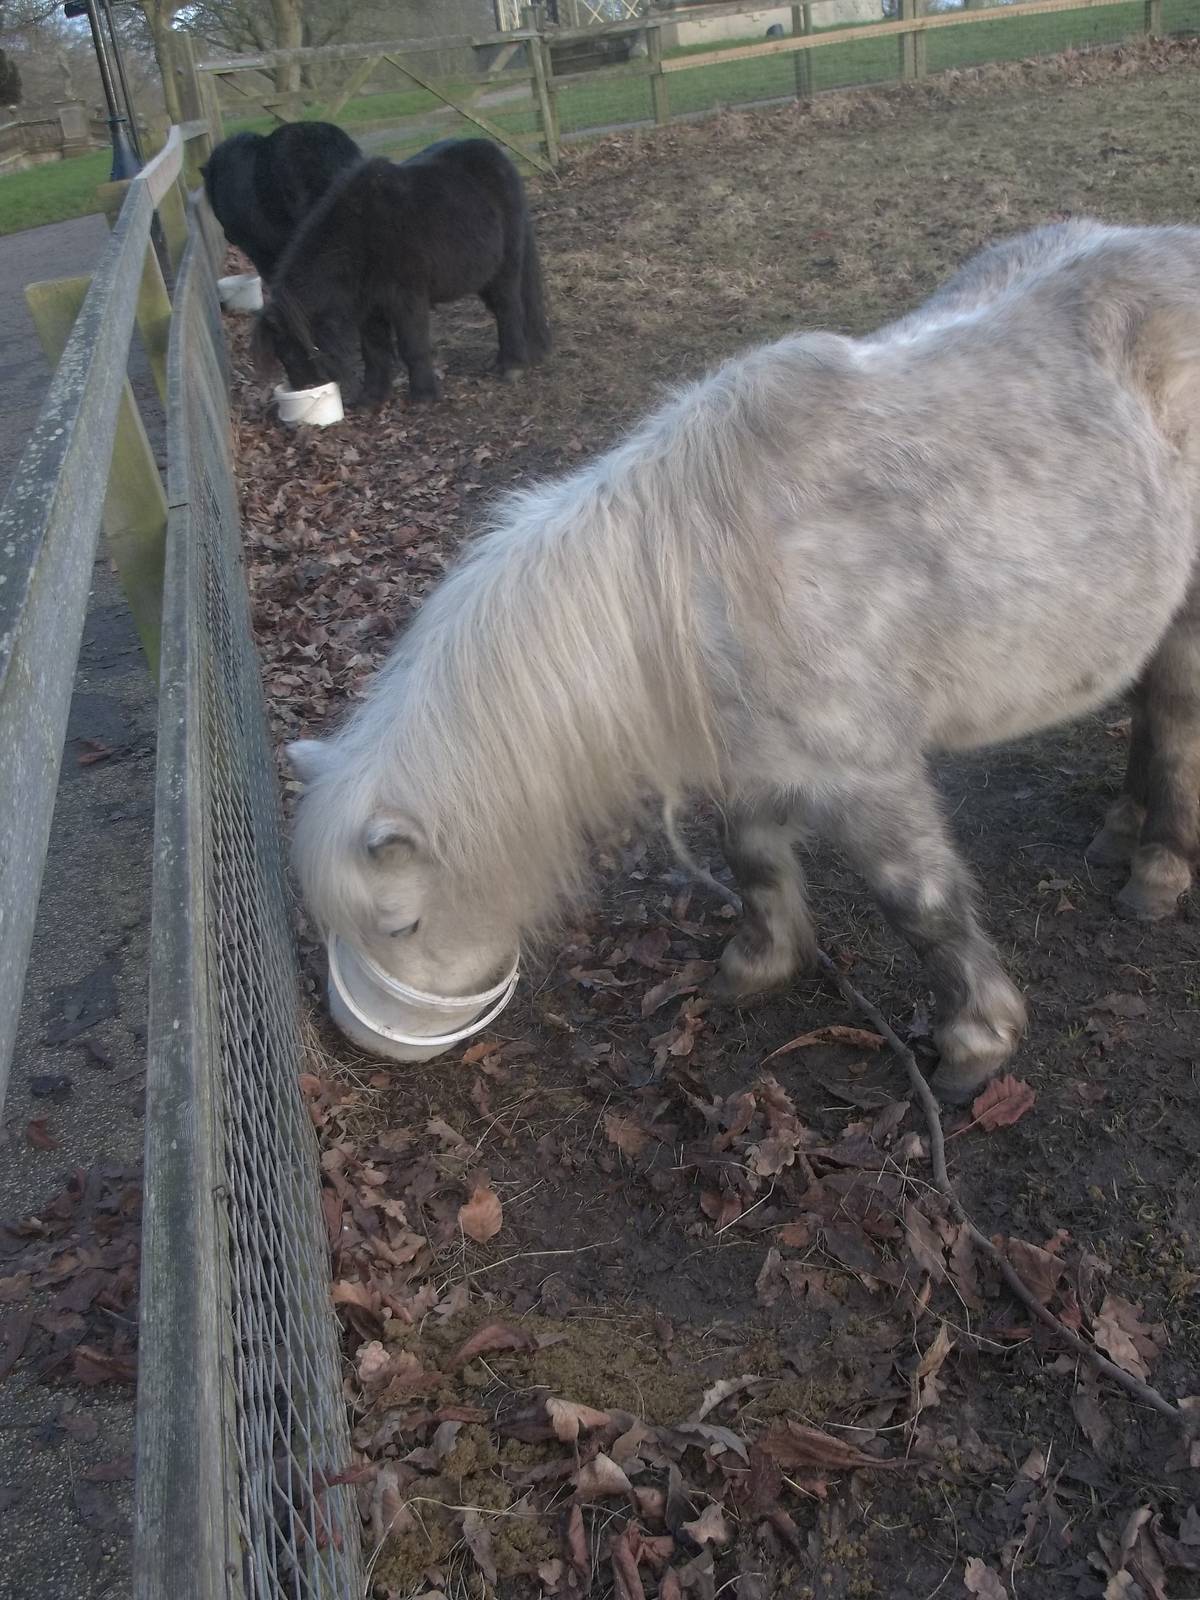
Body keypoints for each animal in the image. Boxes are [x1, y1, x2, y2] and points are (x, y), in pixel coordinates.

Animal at [251, 138, 551, 407]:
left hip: (505, 266)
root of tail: (497, 156)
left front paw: (423, 397)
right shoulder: (369, 309)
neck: (360, 236)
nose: (307, 388)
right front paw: (371, 399)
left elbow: (412, 346)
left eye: (290, 354)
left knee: (507, 307)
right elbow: (374, 351)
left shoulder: (407, 299)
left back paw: (512, 365)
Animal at [286, 220, 1200, 1101]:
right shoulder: (756, 758)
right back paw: (1119, 834)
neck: (698, 581)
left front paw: (976, 1043)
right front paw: (756, 969)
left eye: (399, 925)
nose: (365, 1036)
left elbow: (920, 904)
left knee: (1175, 724)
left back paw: (1157, 871)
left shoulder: (869, 774)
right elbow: (752, 855)